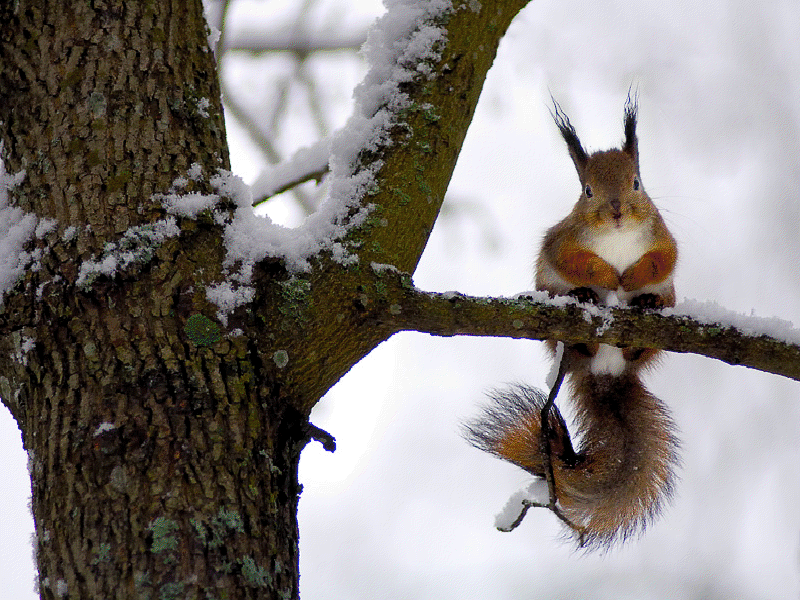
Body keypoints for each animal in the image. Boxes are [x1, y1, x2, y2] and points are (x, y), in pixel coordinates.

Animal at [462, 96, 680, 552]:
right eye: (587, 190)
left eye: (636, 183)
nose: (616, 212)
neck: (617, 238)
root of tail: (606, 372)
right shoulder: (562, 241)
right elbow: (575, 260)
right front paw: (605, 276)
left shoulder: (664, 237)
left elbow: (664, 259)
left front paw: (632, 279)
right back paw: (583, 303)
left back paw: (645, 306)